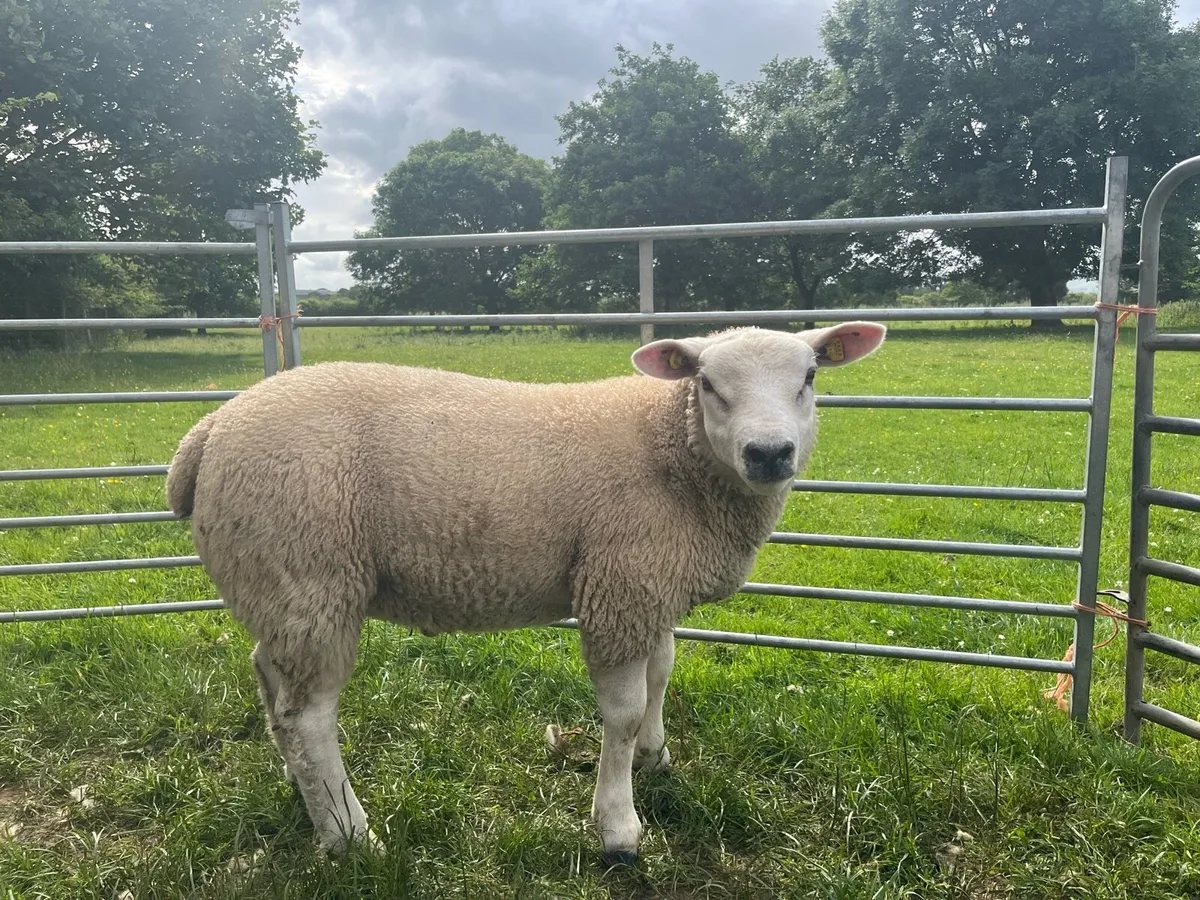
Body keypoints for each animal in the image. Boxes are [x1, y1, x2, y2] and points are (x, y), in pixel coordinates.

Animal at [165, 323, 886, 863]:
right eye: (707, 383)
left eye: (810, 378)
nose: (769, 453)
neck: (674, 453)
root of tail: (210, 431)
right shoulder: (619, 587)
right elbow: (623, 712)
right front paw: (618, 827)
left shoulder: (651, 584)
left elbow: (662, 672)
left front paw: (656, 756)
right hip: (310, 576)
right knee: (308, 717)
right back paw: (350, 835)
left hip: (276, 587)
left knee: (270, 680)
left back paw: (302, 787)